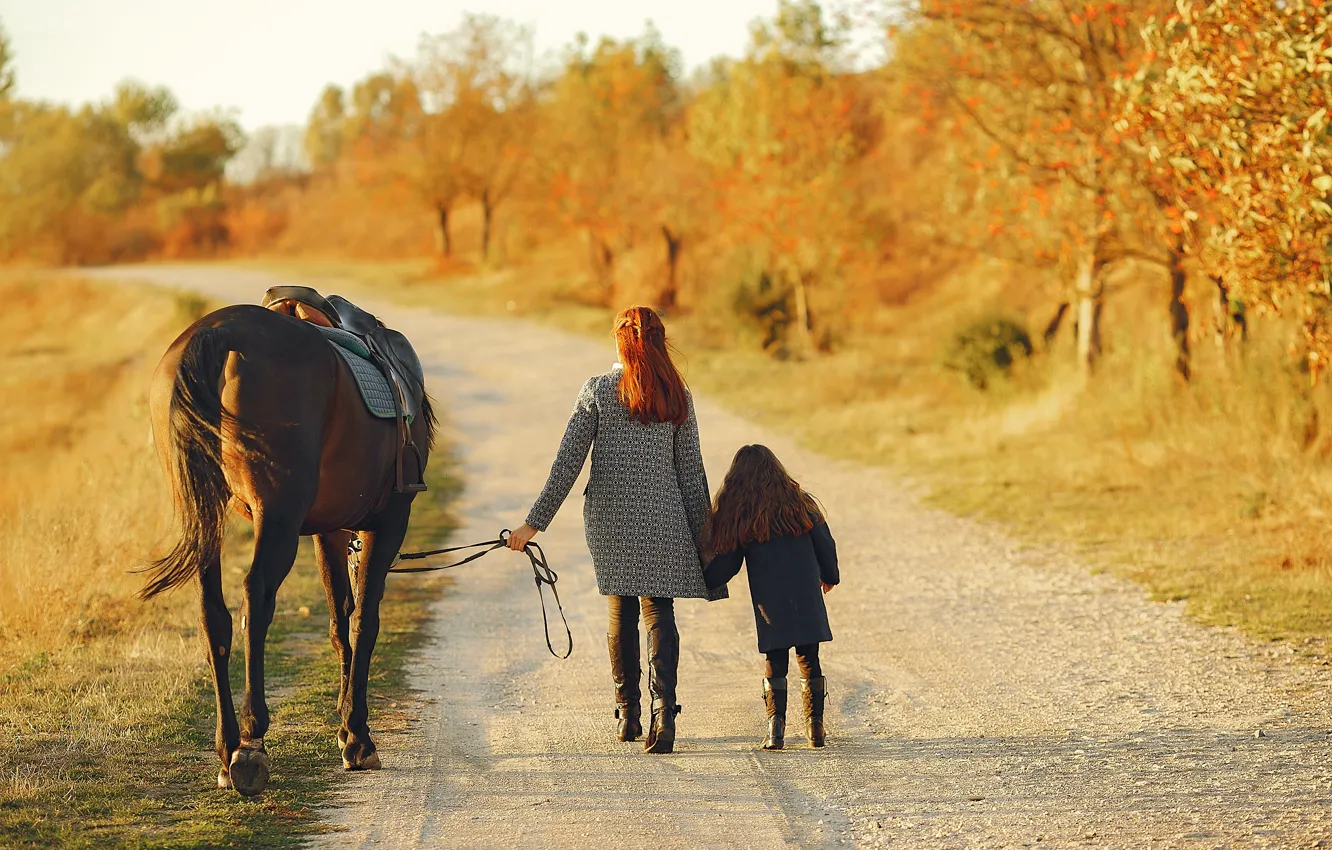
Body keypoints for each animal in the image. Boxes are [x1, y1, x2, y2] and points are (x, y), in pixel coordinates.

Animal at [141, 303, 435, 796]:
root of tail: (219, 331)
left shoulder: (327, 530)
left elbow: (339, 620)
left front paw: (345, 728)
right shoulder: (388, 523)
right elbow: (364, 622)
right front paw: (358, 737)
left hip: (205, 514)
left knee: (212, 614)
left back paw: (226, 747)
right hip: (278, 511)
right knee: (256, 597)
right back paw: (250, 744)